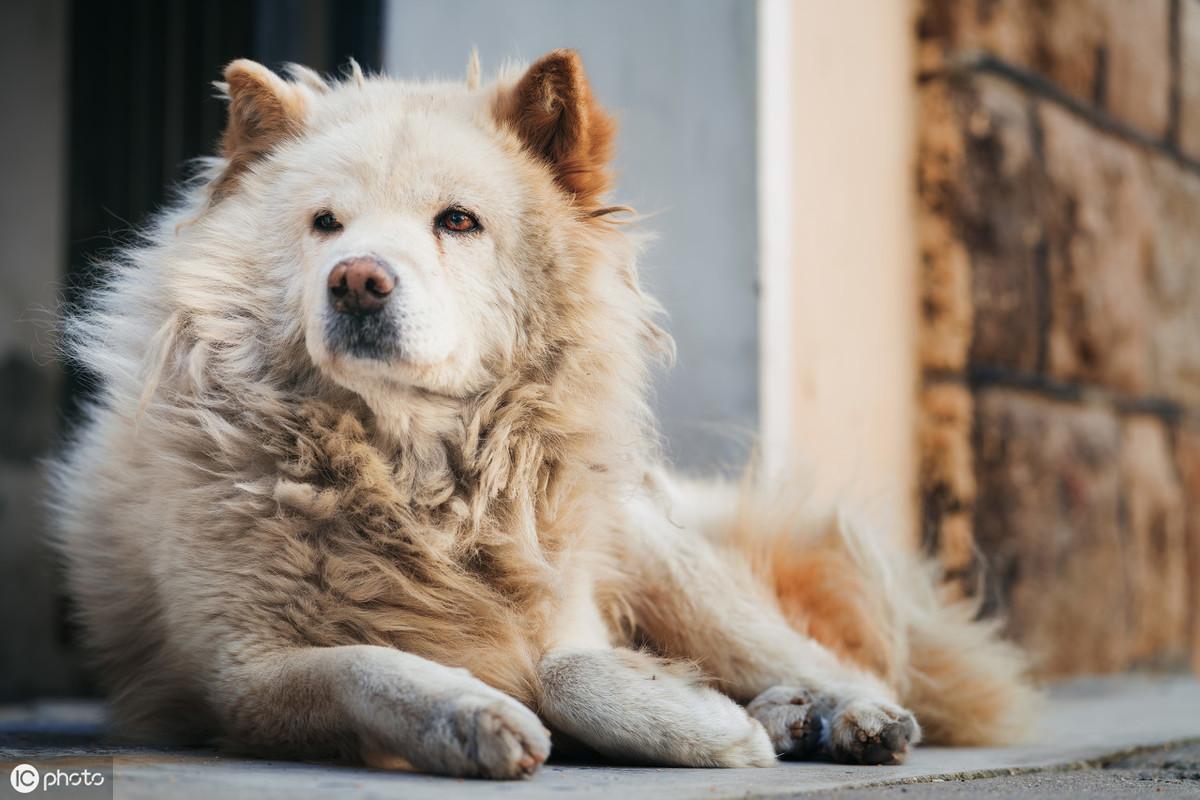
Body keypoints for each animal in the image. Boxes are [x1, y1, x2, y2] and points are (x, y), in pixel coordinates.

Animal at [51, 50, 1036, 777]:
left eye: (457, 221)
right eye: (325, 224)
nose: (357, 280)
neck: (410, 473)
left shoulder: (569, 614)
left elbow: (569, 666)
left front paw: (694, 721)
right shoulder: (233, 675)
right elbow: (364, 665)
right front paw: (470, 715)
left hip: (665, 562)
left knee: (826, 657)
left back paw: (843, 712)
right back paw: (790, 716)